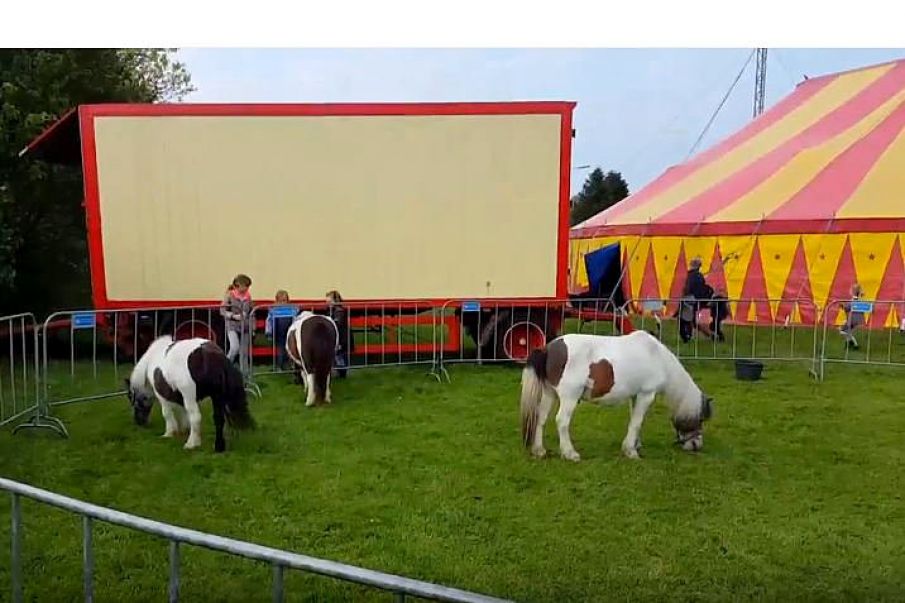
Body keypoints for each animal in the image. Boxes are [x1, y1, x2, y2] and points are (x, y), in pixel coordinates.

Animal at [126, 336, 254, 452]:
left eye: (134, 402)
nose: (139, 422)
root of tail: (213, 355)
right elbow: (184, 414)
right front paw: (184, 430)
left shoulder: (163, 396)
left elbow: (167, 414)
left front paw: (169, 433)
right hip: (217, 396)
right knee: (219, 419)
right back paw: (218, 447)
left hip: (191, 396)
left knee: (196, 417)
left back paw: (191, 444)